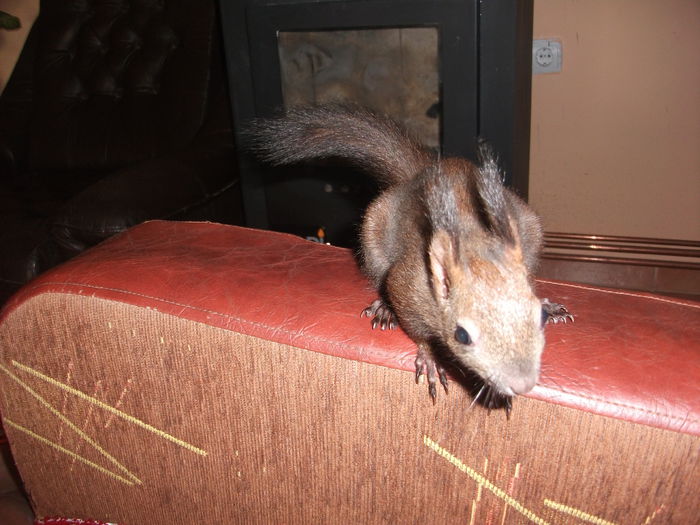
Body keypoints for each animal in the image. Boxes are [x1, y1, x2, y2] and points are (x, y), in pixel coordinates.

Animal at [247, 104, 572, 411]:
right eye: (462, 335)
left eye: (539, 318)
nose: (523, 384)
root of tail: (419, 175)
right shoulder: (409, 285)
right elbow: (416, 328)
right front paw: (429, 357)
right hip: (373, 233)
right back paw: (384, 308)